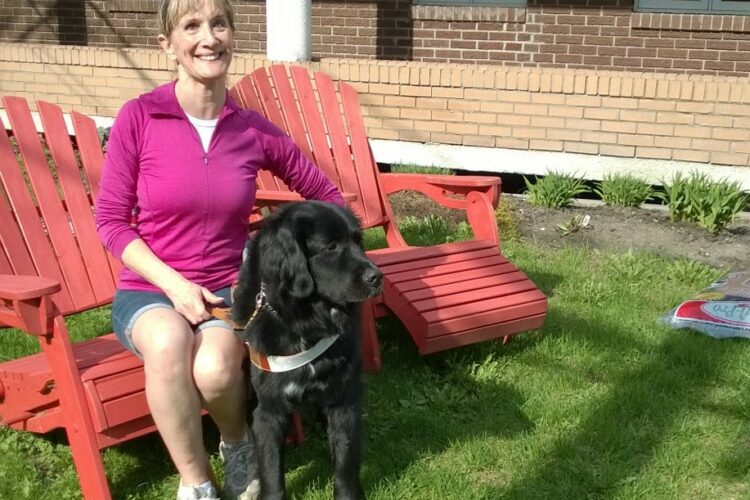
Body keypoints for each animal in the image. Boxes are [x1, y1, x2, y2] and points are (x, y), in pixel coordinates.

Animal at [232, 201, 382, 500]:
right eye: (331, 246)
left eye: (358, 241)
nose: (377, 276)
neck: (305, 323)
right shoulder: (269, 409)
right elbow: (271, 471)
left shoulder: (343, 398)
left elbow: (345, 461)